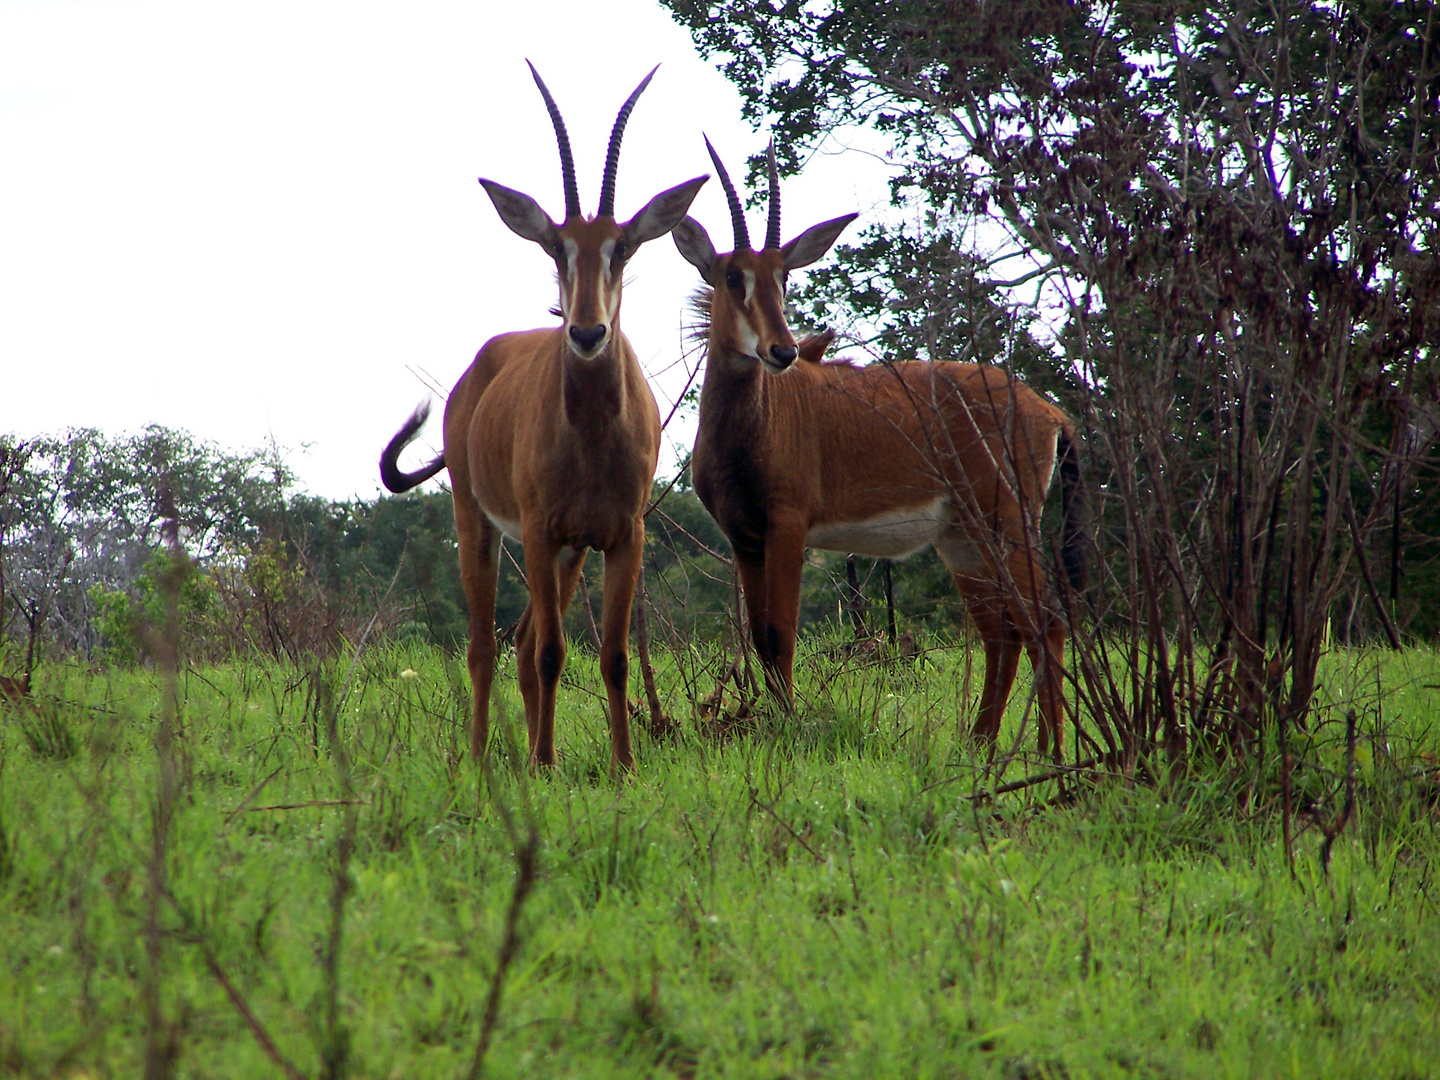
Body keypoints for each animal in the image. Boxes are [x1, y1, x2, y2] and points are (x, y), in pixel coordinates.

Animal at [377, 67, 702, 771]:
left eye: (621, 247)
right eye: (556, 246)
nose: (586, 331)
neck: (594, 436)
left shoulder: (622, 536)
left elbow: (613, 656)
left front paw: (624, 767)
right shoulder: (538, 528)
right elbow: (554, 651)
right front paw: (545, 764)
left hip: (569, 551)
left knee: (522, 643)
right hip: (483, 526)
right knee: (487, 646)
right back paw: (483, 756)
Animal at [671, 141, 1082, 760]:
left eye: (783, 276)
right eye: (731, 276)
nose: (782, 351)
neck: (749, 427)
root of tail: (1051, 413)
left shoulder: (788, 527)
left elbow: (779, 634)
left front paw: (788, 726)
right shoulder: (744, 538)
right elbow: (761, 639)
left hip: (1007, 520)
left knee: (1044, 621)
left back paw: (1050, 753)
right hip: (963, 540)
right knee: (1000, 631)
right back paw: (978, 746)